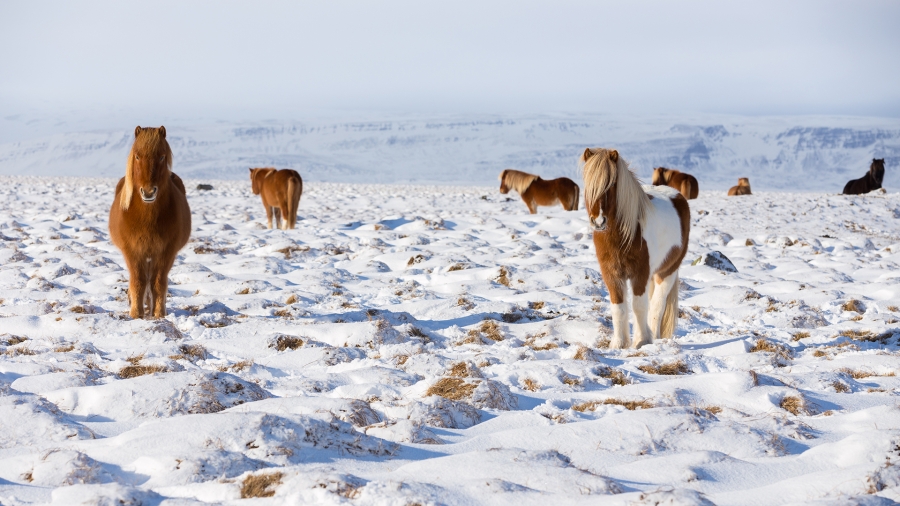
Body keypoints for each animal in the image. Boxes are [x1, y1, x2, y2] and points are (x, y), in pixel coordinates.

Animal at [110, 125, 192, 316]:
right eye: (137, 156)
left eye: (161, 156)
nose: (148, 192)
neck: (147, 218)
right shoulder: (132, 251)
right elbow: (138, 281)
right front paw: (136, 313)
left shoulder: (166, 251)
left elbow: (158, 281)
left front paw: (159, 313)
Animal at [580, 148, 692, 350]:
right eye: (587, 182)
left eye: (612, 183)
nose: (599, 221)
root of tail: (677, 195)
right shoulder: (611, 274)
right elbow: (618, 307)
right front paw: (618, 343)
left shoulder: (640, 273)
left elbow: (639, 307)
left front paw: (641, 341)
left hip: (667, 271)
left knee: (657, 305)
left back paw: (654, 336)